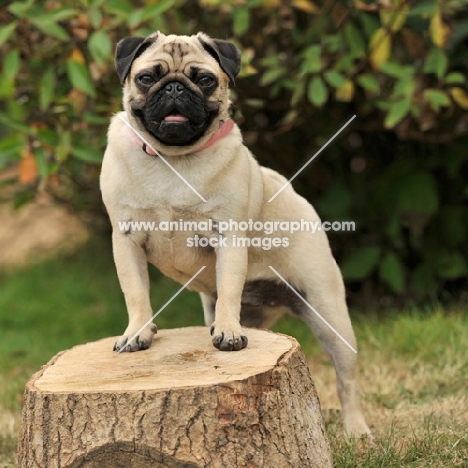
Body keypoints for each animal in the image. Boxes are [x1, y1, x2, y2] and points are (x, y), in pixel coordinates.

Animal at [100, 31, 372, 436]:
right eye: (147, 78)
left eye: (204, 79)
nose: (175, 87)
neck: (172, 160)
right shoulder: (126, 239)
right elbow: (135, 294)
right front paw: (138, 333)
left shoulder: (228, 236)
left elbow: (229, 289)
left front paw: (229, 332)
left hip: (330, 314)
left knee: (347, 380)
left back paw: (357, 430)